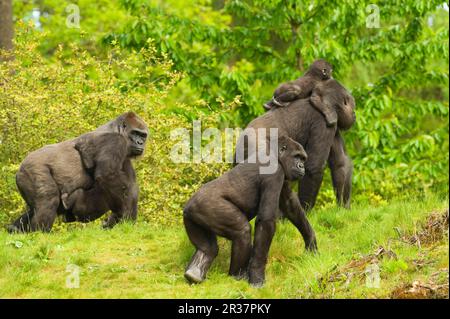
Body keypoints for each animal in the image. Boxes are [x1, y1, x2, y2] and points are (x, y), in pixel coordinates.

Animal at [7, 112, 148, 232]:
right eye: (135, 133)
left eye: (143, 135)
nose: (140, 142)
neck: (116, 129)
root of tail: (19, 169)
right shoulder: (114, 141)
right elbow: (108, 175)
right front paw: (121, 213)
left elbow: (131, 187)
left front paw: (123, 219)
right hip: (33, 169)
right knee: (48, 199)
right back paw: (40, 233)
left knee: (35, 208)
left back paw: (15, 229)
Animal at [184, 135, 310, 288]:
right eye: (296, 157)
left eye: (303, 159)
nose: (302, 166)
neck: (274, 153)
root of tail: (188, 205)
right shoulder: (274, 173)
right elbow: (266, 222)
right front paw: (257, 276)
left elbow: (290, 204)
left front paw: (311, 243)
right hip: (206, 206)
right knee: (242, 231)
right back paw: (236, 276)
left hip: (191, 216)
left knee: (208, 248)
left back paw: (194, 272)